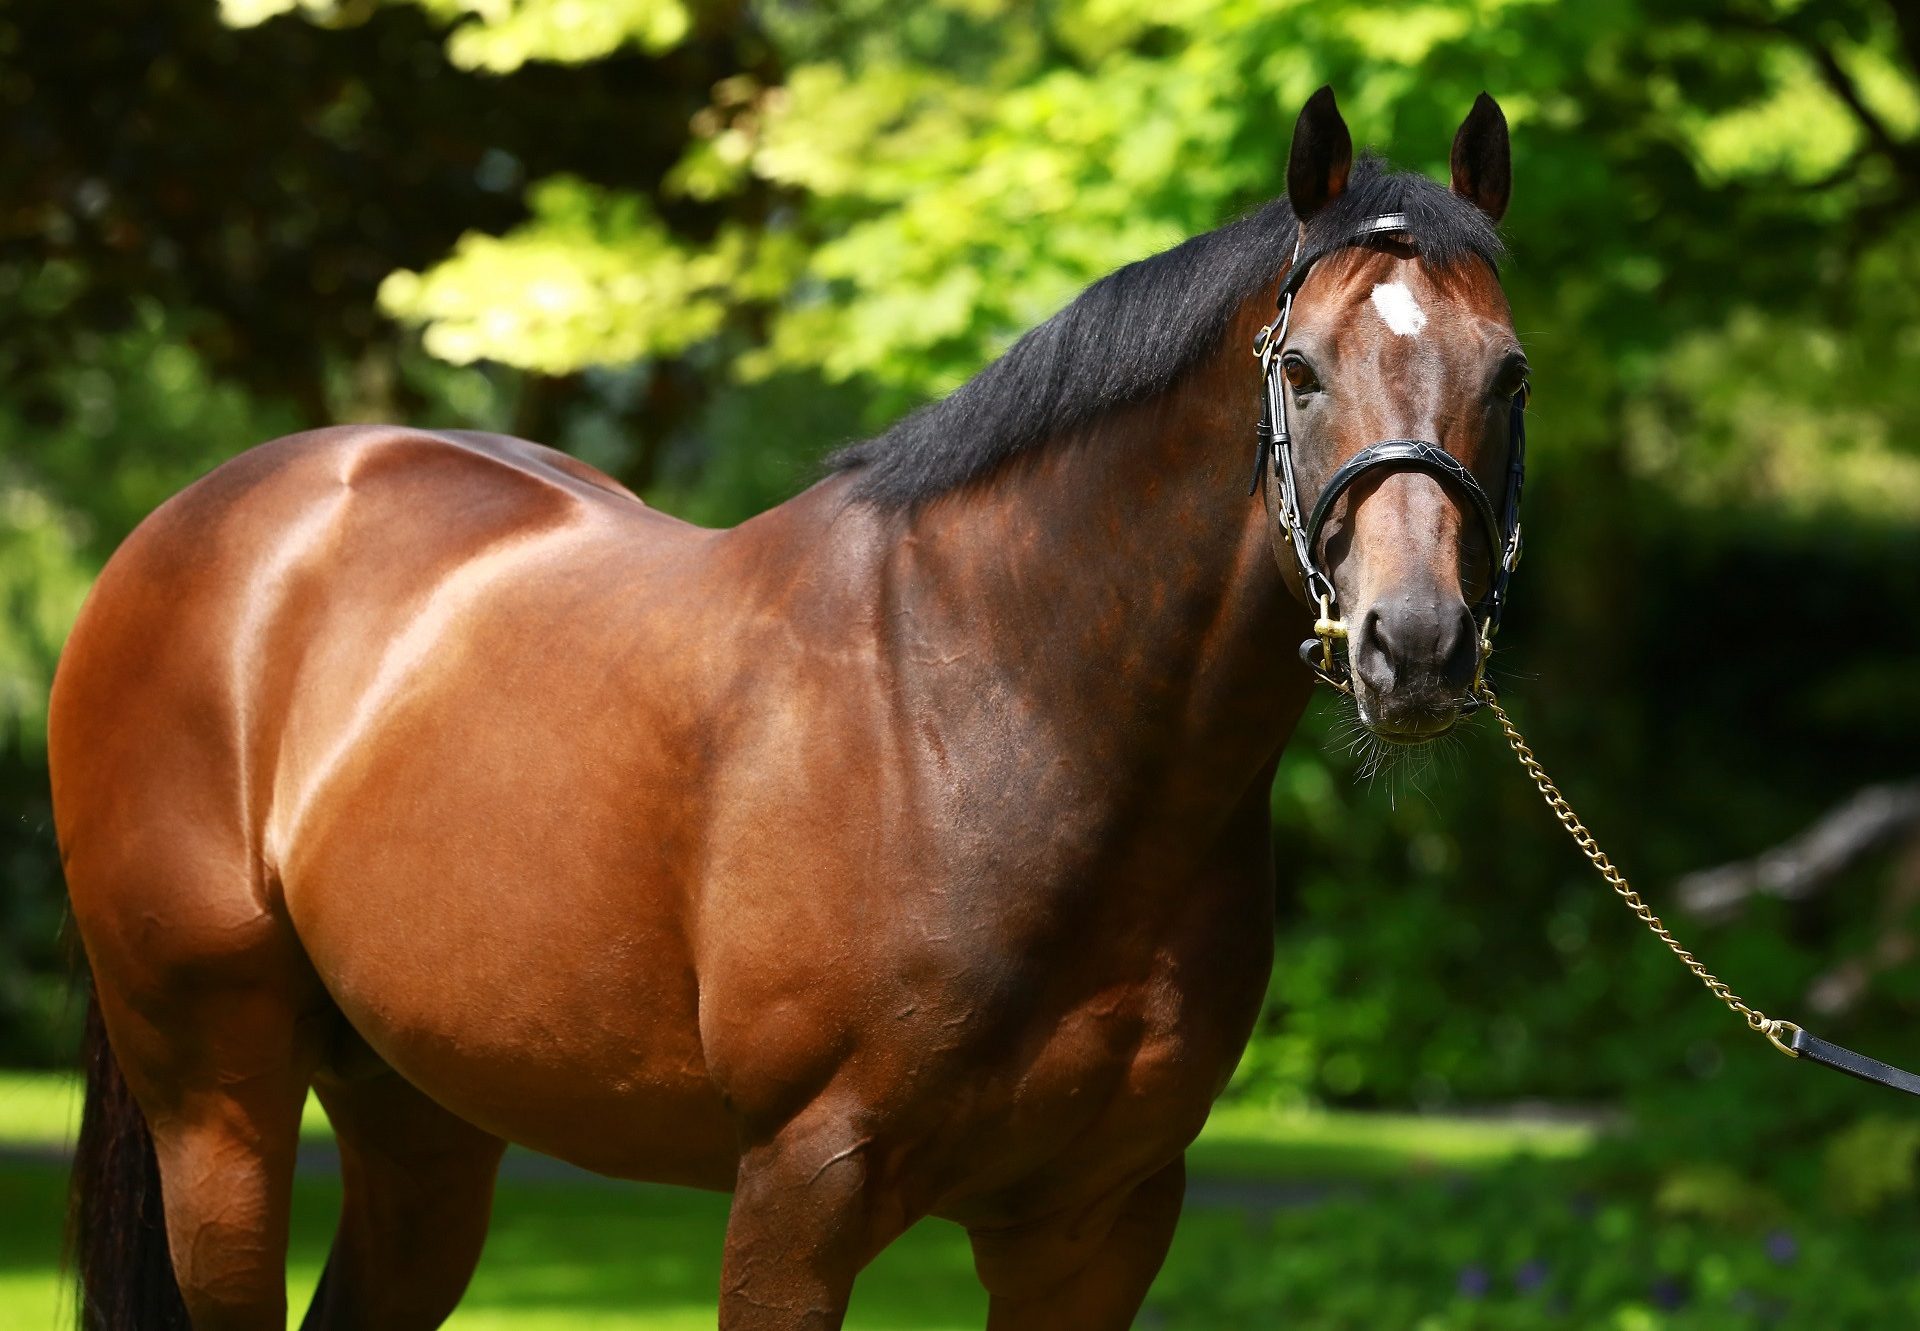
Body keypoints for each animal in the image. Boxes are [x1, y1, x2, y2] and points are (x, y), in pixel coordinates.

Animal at [52, 88, 1528, 1321]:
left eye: (1508, 373)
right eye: (1304, 371)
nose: (1417, 644)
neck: (1002, 716)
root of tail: (201, 522)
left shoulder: (1096, 1220)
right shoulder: (802, 1189)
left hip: (421, 1112)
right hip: (218, 1107)